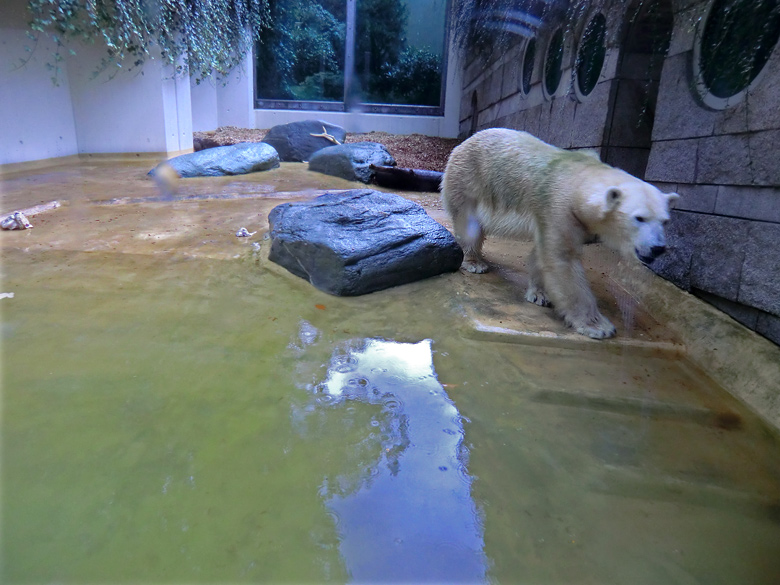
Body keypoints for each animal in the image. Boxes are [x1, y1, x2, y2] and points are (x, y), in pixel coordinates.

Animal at [442, 128, 680, 338]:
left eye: (665, 221)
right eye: (639, 218)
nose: (658, 248)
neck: (578, 174)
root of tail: (459, 145)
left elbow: (543, 255)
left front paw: (540, 294)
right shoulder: (558, 206)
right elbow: (562, 263)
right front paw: (599, 326)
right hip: (468, 180)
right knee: (469, 224)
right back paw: (475, 262)